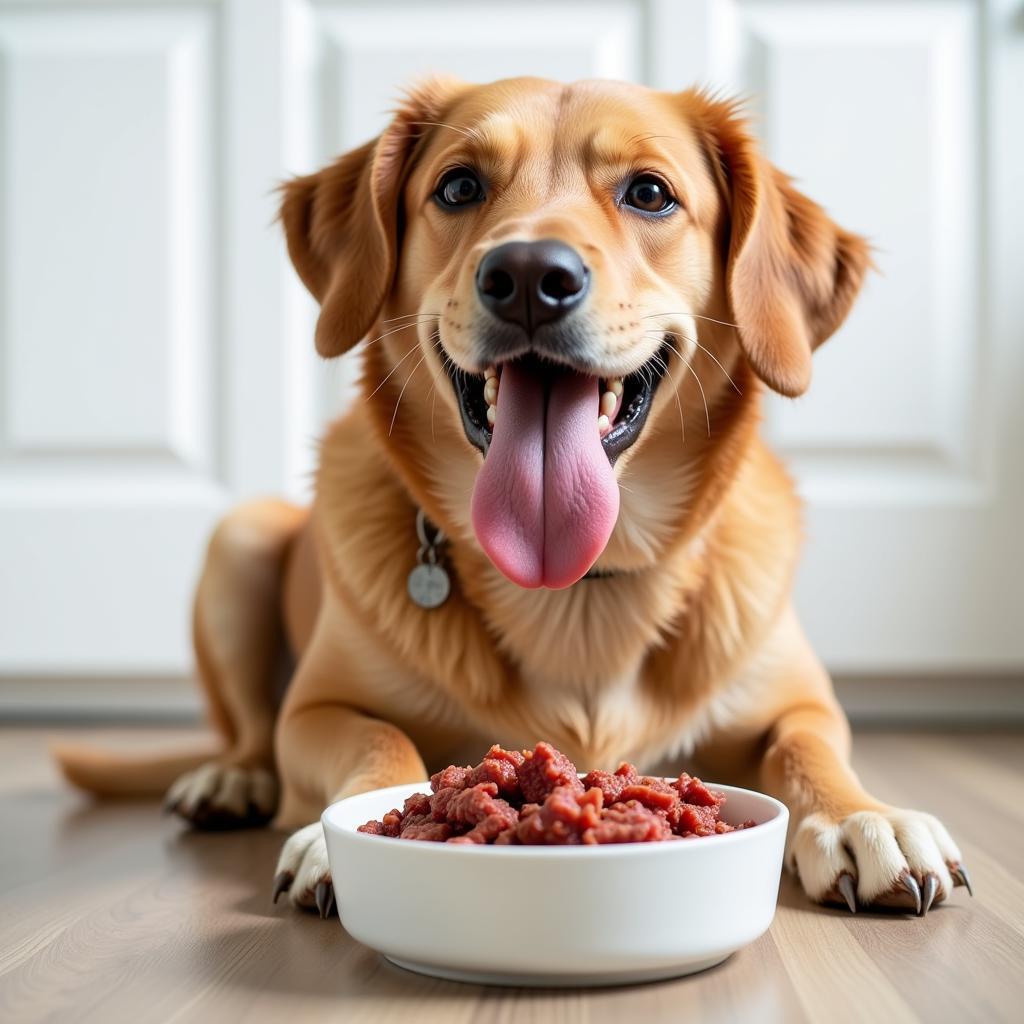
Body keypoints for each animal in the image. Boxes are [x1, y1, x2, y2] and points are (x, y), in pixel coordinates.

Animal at [56, 75, 966, 917]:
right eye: (459, 186)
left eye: (649, 192)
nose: (530, 274)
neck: (573, 593)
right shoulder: (318, 708)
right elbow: (379, 742)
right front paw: (327, 832)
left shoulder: (801, 703)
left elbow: (810, 750)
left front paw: (860, 816)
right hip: (238, 542)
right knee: (246, 732)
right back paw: (229, 779)